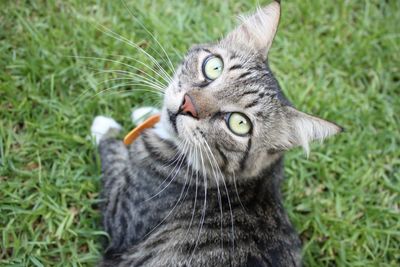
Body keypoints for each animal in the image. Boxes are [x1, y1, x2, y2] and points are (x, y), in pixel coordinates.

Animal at [91, 1, 344, 266]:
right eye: (214, 67)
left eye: (239, 123)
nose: (188, 105)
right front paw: (146, 112)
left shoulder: (123, 214)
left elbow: (111, 155)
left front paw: (105, 127)